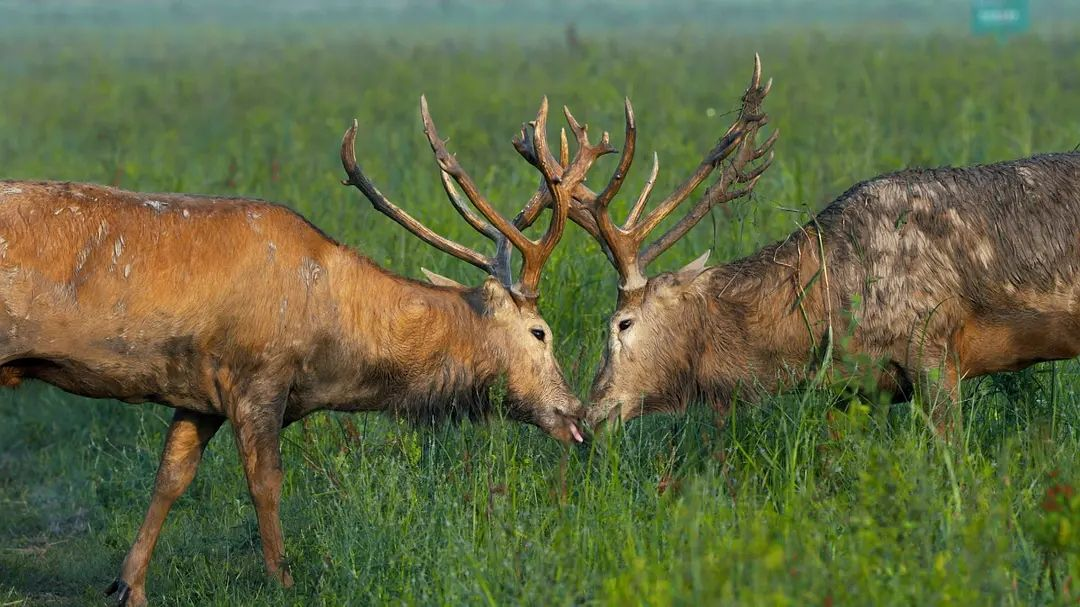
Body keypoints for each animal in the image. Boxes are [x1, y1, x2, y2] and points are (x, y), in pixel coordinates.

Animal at [0, 96, 600, 600]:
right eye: (541, 332)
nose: (576, 413)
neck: (332, 353)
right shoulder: (258, 374)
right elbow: (266, 482)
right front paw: (282, 581)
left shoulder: (198, 393)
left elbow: (170, 477)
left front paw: (129, 586)